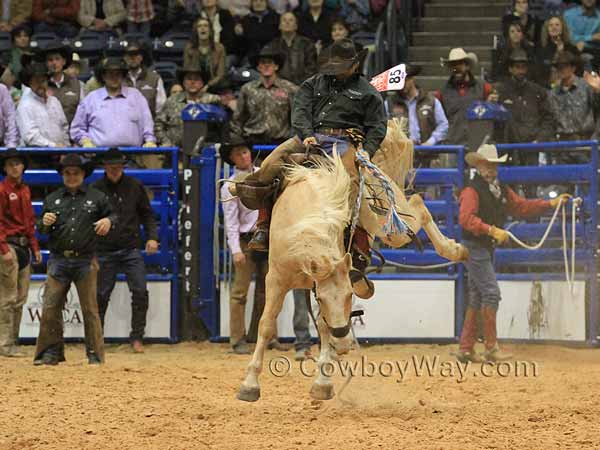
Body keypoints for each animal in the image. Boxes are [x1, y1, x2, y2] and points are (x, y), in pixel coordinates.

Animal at [236, 119, 468, 400]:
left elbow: (322, 326)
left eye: (348, 297)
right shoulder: (277, 280)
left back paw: (455, 250)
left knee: (418, 205)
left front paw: (323, 381)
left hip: (390, 225)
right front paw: (250, 384)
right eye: (323, 299)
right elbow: (267, 324)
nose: (344, 341)